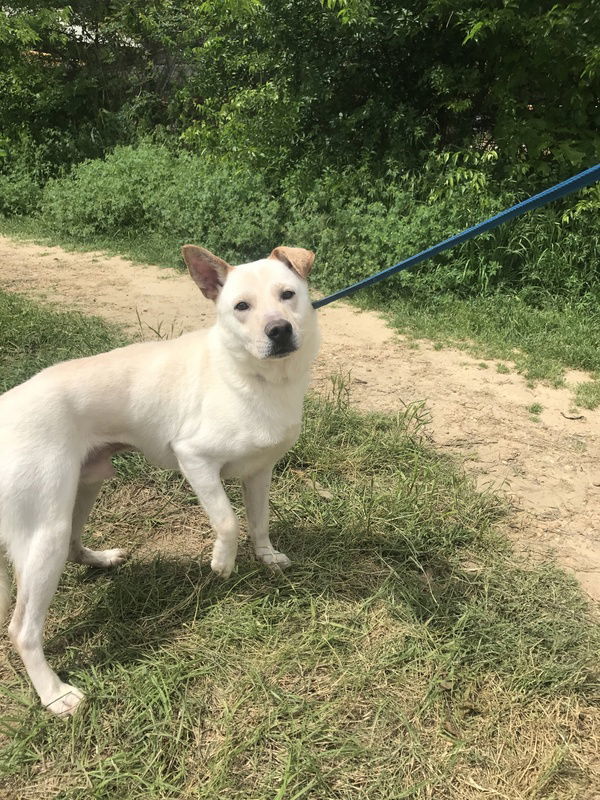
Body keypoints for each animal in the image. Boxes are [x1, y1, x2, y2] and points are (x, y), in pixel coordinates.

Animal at [0, 244, 318, 712]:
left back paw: (102, 559)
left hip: (83, 488)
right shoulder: (195, 459)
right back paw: (55, 695)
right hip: (45, 530)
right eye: (241, 306)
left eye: (288, 294)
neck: (255, 376)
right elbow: (228, 520)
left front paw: (267, 557)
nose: (278, 330)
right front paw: (222, 563)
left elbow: (259, 522)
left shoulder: (260, 472)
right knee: (21, 629)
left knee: (75, 546)